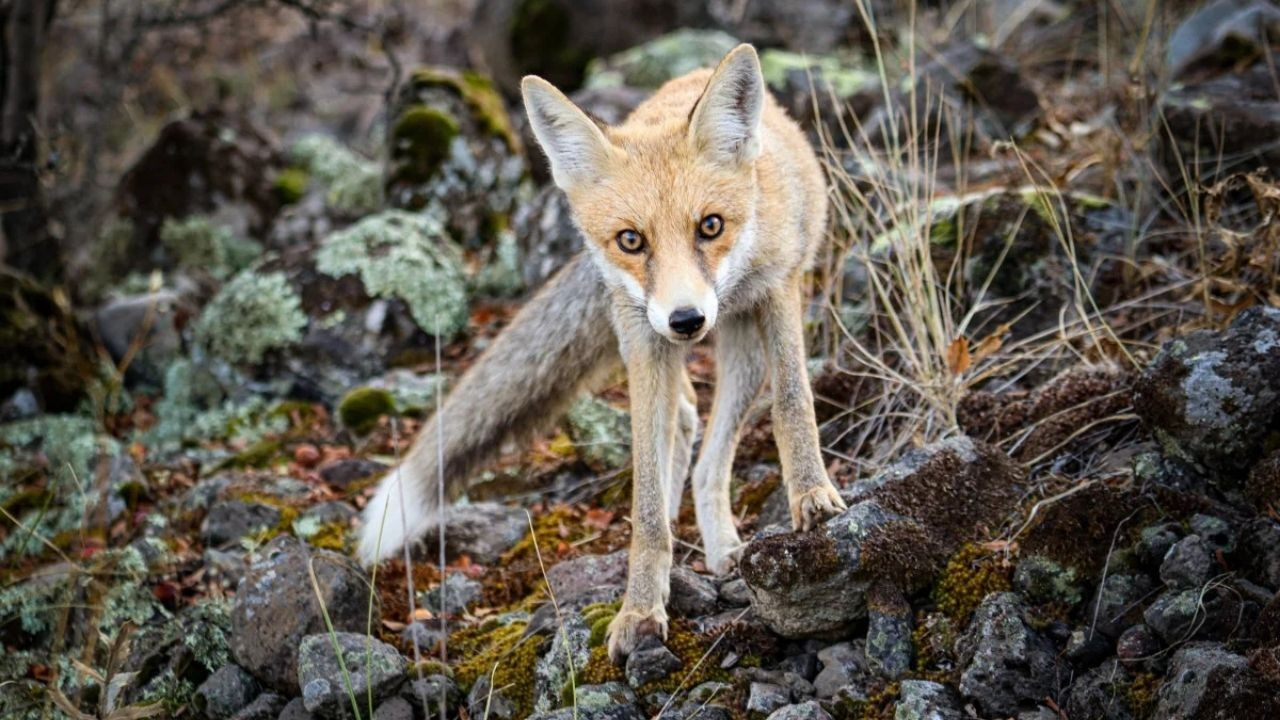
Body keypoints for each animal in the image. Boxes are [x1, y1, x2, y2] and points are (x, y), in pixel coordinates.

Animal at [355, 44, 844, 661]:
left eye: (711, 226)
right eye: (631, 240)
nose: (687, 319)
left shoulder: (778, 290)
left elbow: (793, 404)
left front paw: (812, 499)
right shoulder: (644, 339)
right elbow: (646, 503)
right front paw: (640, 610)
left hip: (743, 344)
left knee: (710, 453)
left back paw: (725, 549)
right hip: (659, 342)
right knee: (685, 426)